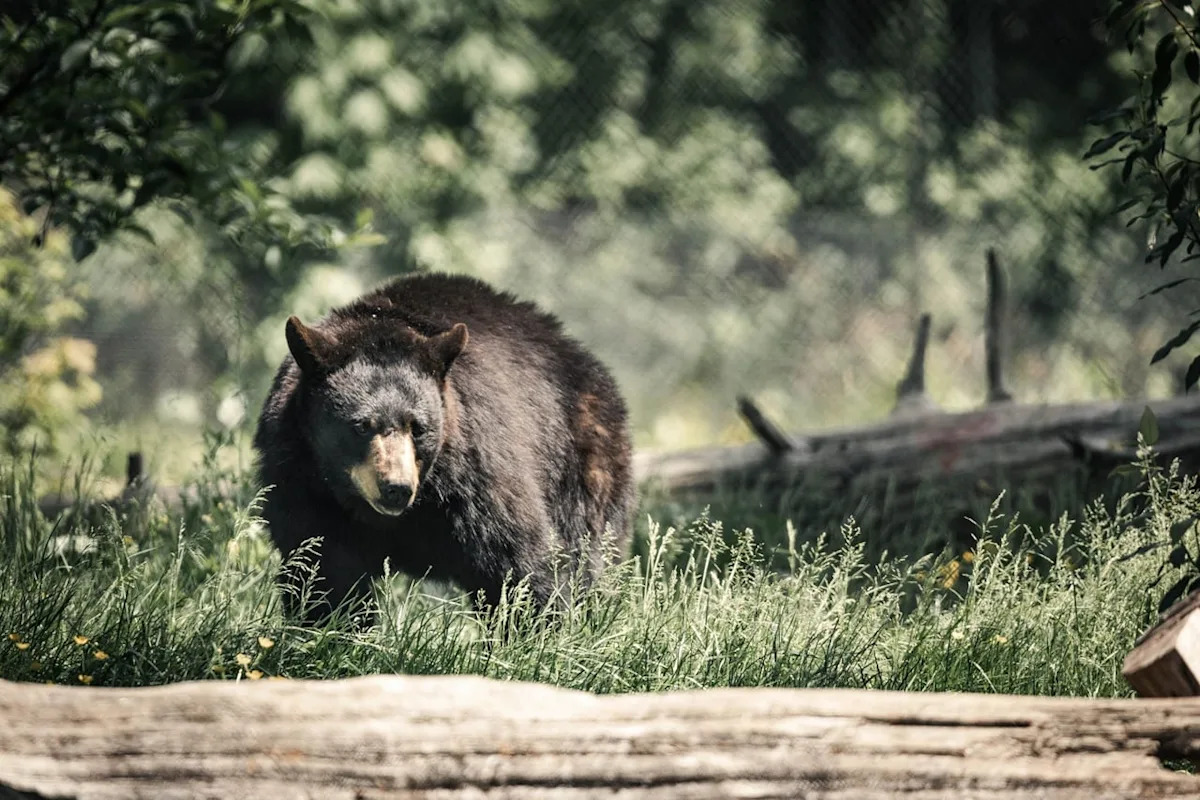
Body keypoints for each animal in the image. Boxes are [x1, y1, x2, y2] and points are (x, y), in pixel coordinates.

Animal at [253, 273, 635, 624]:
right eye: (360, 426)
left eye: (418, 427)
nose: (396, 488)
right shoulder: (302, 478)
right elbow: (323, 568)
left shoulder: (473, 476)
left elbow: (517, 560)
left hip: (582, 463)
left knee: (586, 552)